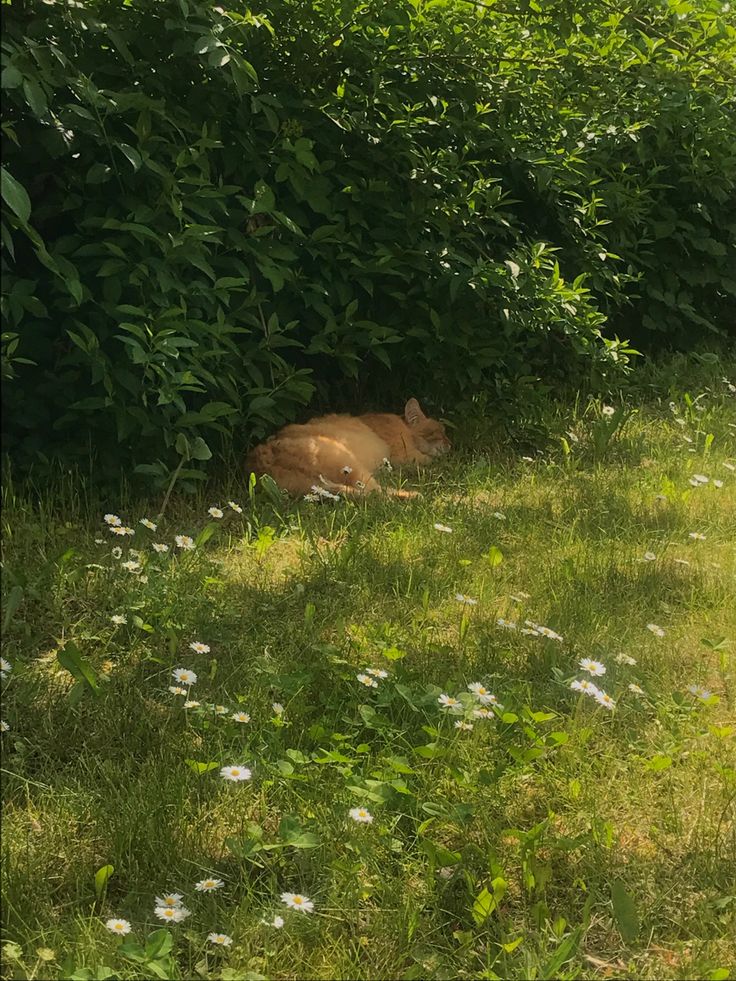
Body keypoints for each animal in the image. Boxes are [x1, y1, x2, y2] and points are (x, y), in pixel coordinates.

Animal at [247, 396, 452, 498]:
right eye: (440, 432)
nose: (451, 444)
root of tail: (260, 461)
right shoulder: (405, 456)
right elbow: (433, 462)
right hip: (350, 463)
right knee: (376, 494)